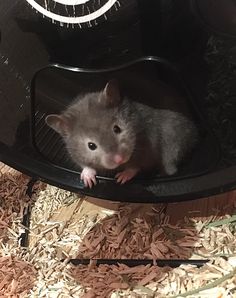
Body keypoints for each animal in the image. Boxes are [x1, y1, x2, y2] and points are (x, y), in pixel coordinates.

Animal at [45, 78, 198, 186]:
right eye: (91, 146)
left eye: (117, 129)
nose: (119, 159)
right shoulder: (76, 155)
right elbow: (86, 165)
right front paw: (89, 182)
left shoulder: (147, 148)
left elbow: (135, 166)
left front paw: (120, 179)